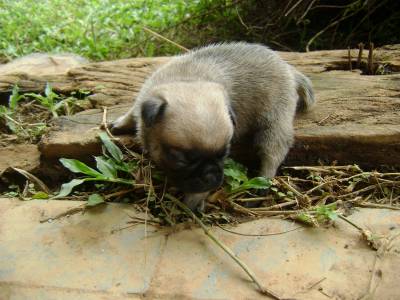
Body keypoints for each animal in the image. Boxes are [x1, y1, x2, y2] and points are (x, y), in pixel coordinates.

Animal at [110, 41, 316, 211]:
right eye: (180, 158)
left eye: (224, 154)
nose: (211, 176)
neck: (188, 80)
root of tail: (289, 70)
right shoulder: (144, 99)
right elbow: (133, 113)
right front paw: (121, 123)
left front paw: (192, 202)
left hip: (274, 123)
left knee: (272, 153)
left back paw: (262, 182)